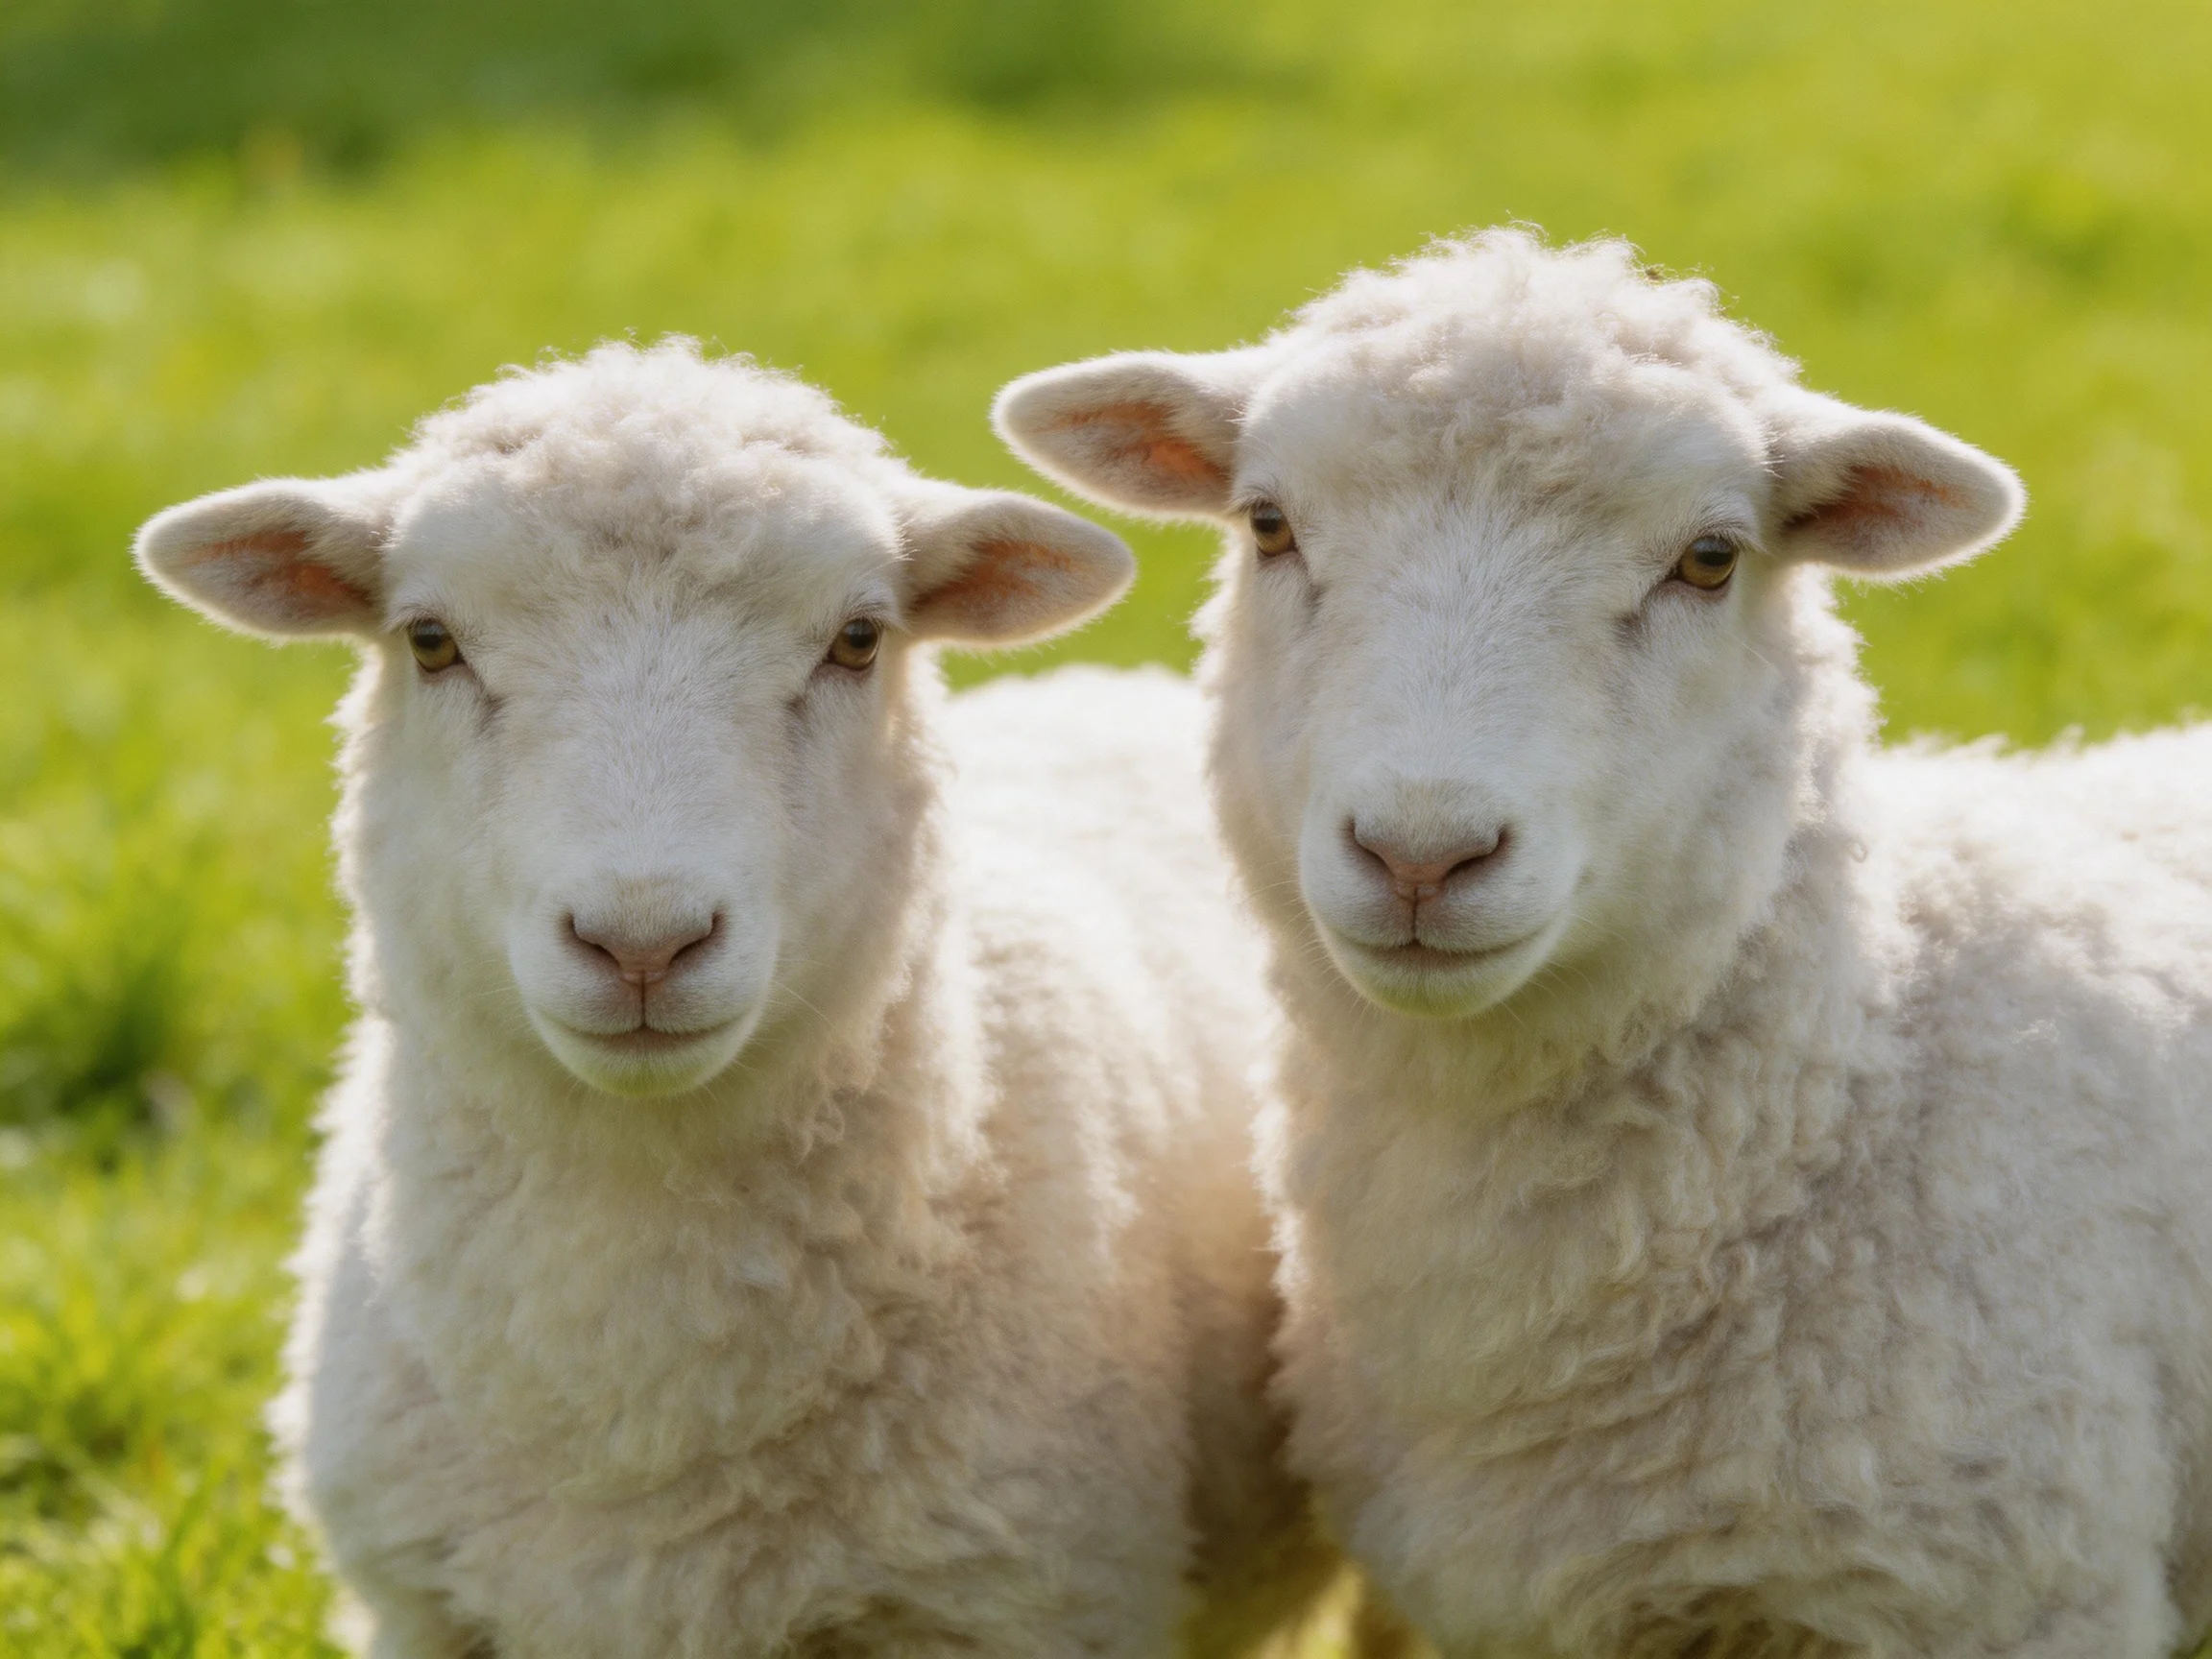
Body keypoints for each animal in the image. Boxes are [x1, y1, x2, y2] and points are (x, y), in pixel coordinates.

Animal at [133, 340, 1347, 1659]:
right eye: (431, 639)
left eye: (858, 639)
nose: (642, 940)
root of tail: (1103, 681)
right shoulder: (419, 1612)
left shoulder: (1017, 1606)